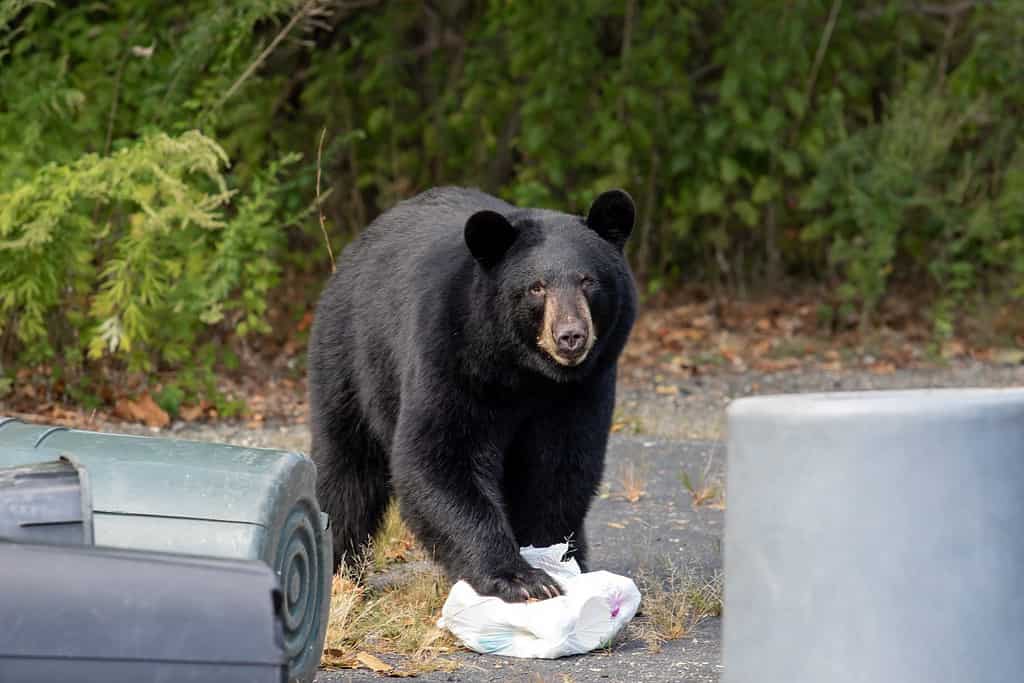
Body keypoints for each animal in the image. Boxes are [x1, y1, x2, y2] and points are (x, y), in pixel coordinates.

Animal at [307, 187, 634, 602]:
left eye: (588, 281)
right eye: (536, 287)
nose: (570, 336)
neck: (525, 372)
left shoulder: (583, 388)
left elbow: (560, 467)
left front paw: (551, 558)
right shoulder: (452, 357)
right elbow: (440, 457)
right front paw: (521, 578)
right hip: (351, 356)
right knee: (347, 468)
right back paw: (340, 571)